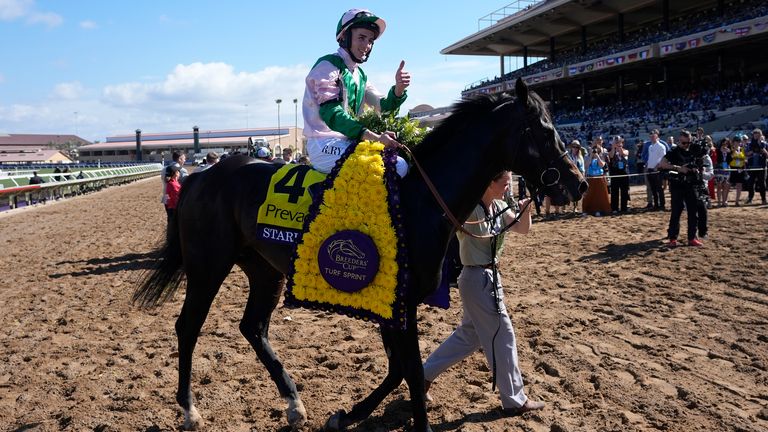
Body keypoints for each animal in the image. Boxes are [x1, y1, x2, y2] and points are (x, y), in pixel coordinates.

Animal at [134, 79, 588, 430]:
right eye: (544, 130)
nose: (578, 183)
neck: (418, 197)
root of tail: (200, 177)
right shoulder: (401, 303)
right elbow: (411, 372)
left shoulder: (391, 303)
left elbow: (398, 370)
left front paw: (349, 414)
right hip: (208, 266)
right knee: (188, 327)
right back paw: (190, 410)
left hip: (264, 270)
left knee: (253, 327)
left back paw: (294, 403)